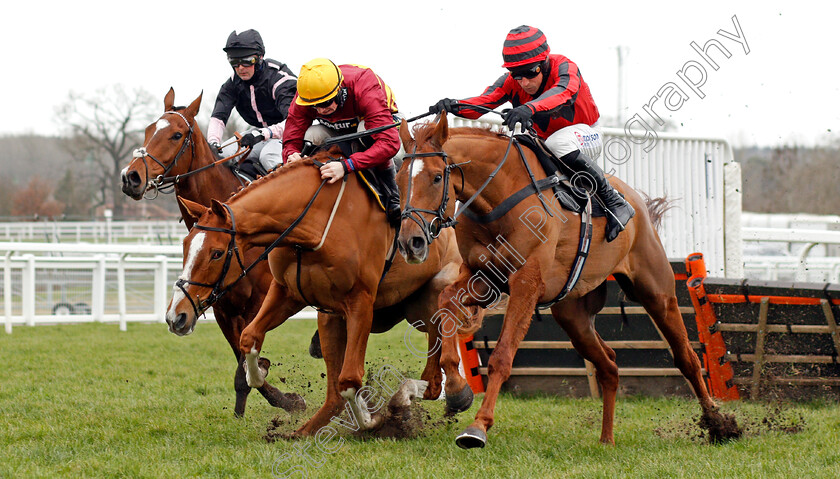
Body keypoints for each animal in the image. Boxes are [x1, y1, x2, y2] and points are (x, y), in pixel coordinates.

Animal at [169, 152, 480, 436]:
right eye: (185, 245)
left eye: (216, 253)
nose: (175, 316)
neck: (314, 223)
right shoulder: (286, 293)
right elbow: (249, 339)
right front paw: (262, 373)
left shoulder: (360, 303)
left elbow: (350, 379)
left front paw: (372, 420)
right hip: (337, 318)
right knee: (338, 394)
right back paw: (304, 431)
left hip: (432, 295)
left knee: (437, 357)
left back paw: (451, 392)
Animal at [398, 112, 740, 450]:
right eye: (399, 179)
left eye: (436, 177)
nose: (410, 242)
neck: (498, 198)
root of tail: (639, 205)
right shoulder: (484, 278)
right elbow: (445, 303)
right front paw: (454, 388)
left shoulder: (526, 283)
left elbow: (502, 355)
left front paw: (478, 426)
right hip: (573, 314)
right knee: (609, 365)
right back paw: (606, 439)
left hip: (657, 292)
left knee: (687, 358)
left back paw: (719, 424)